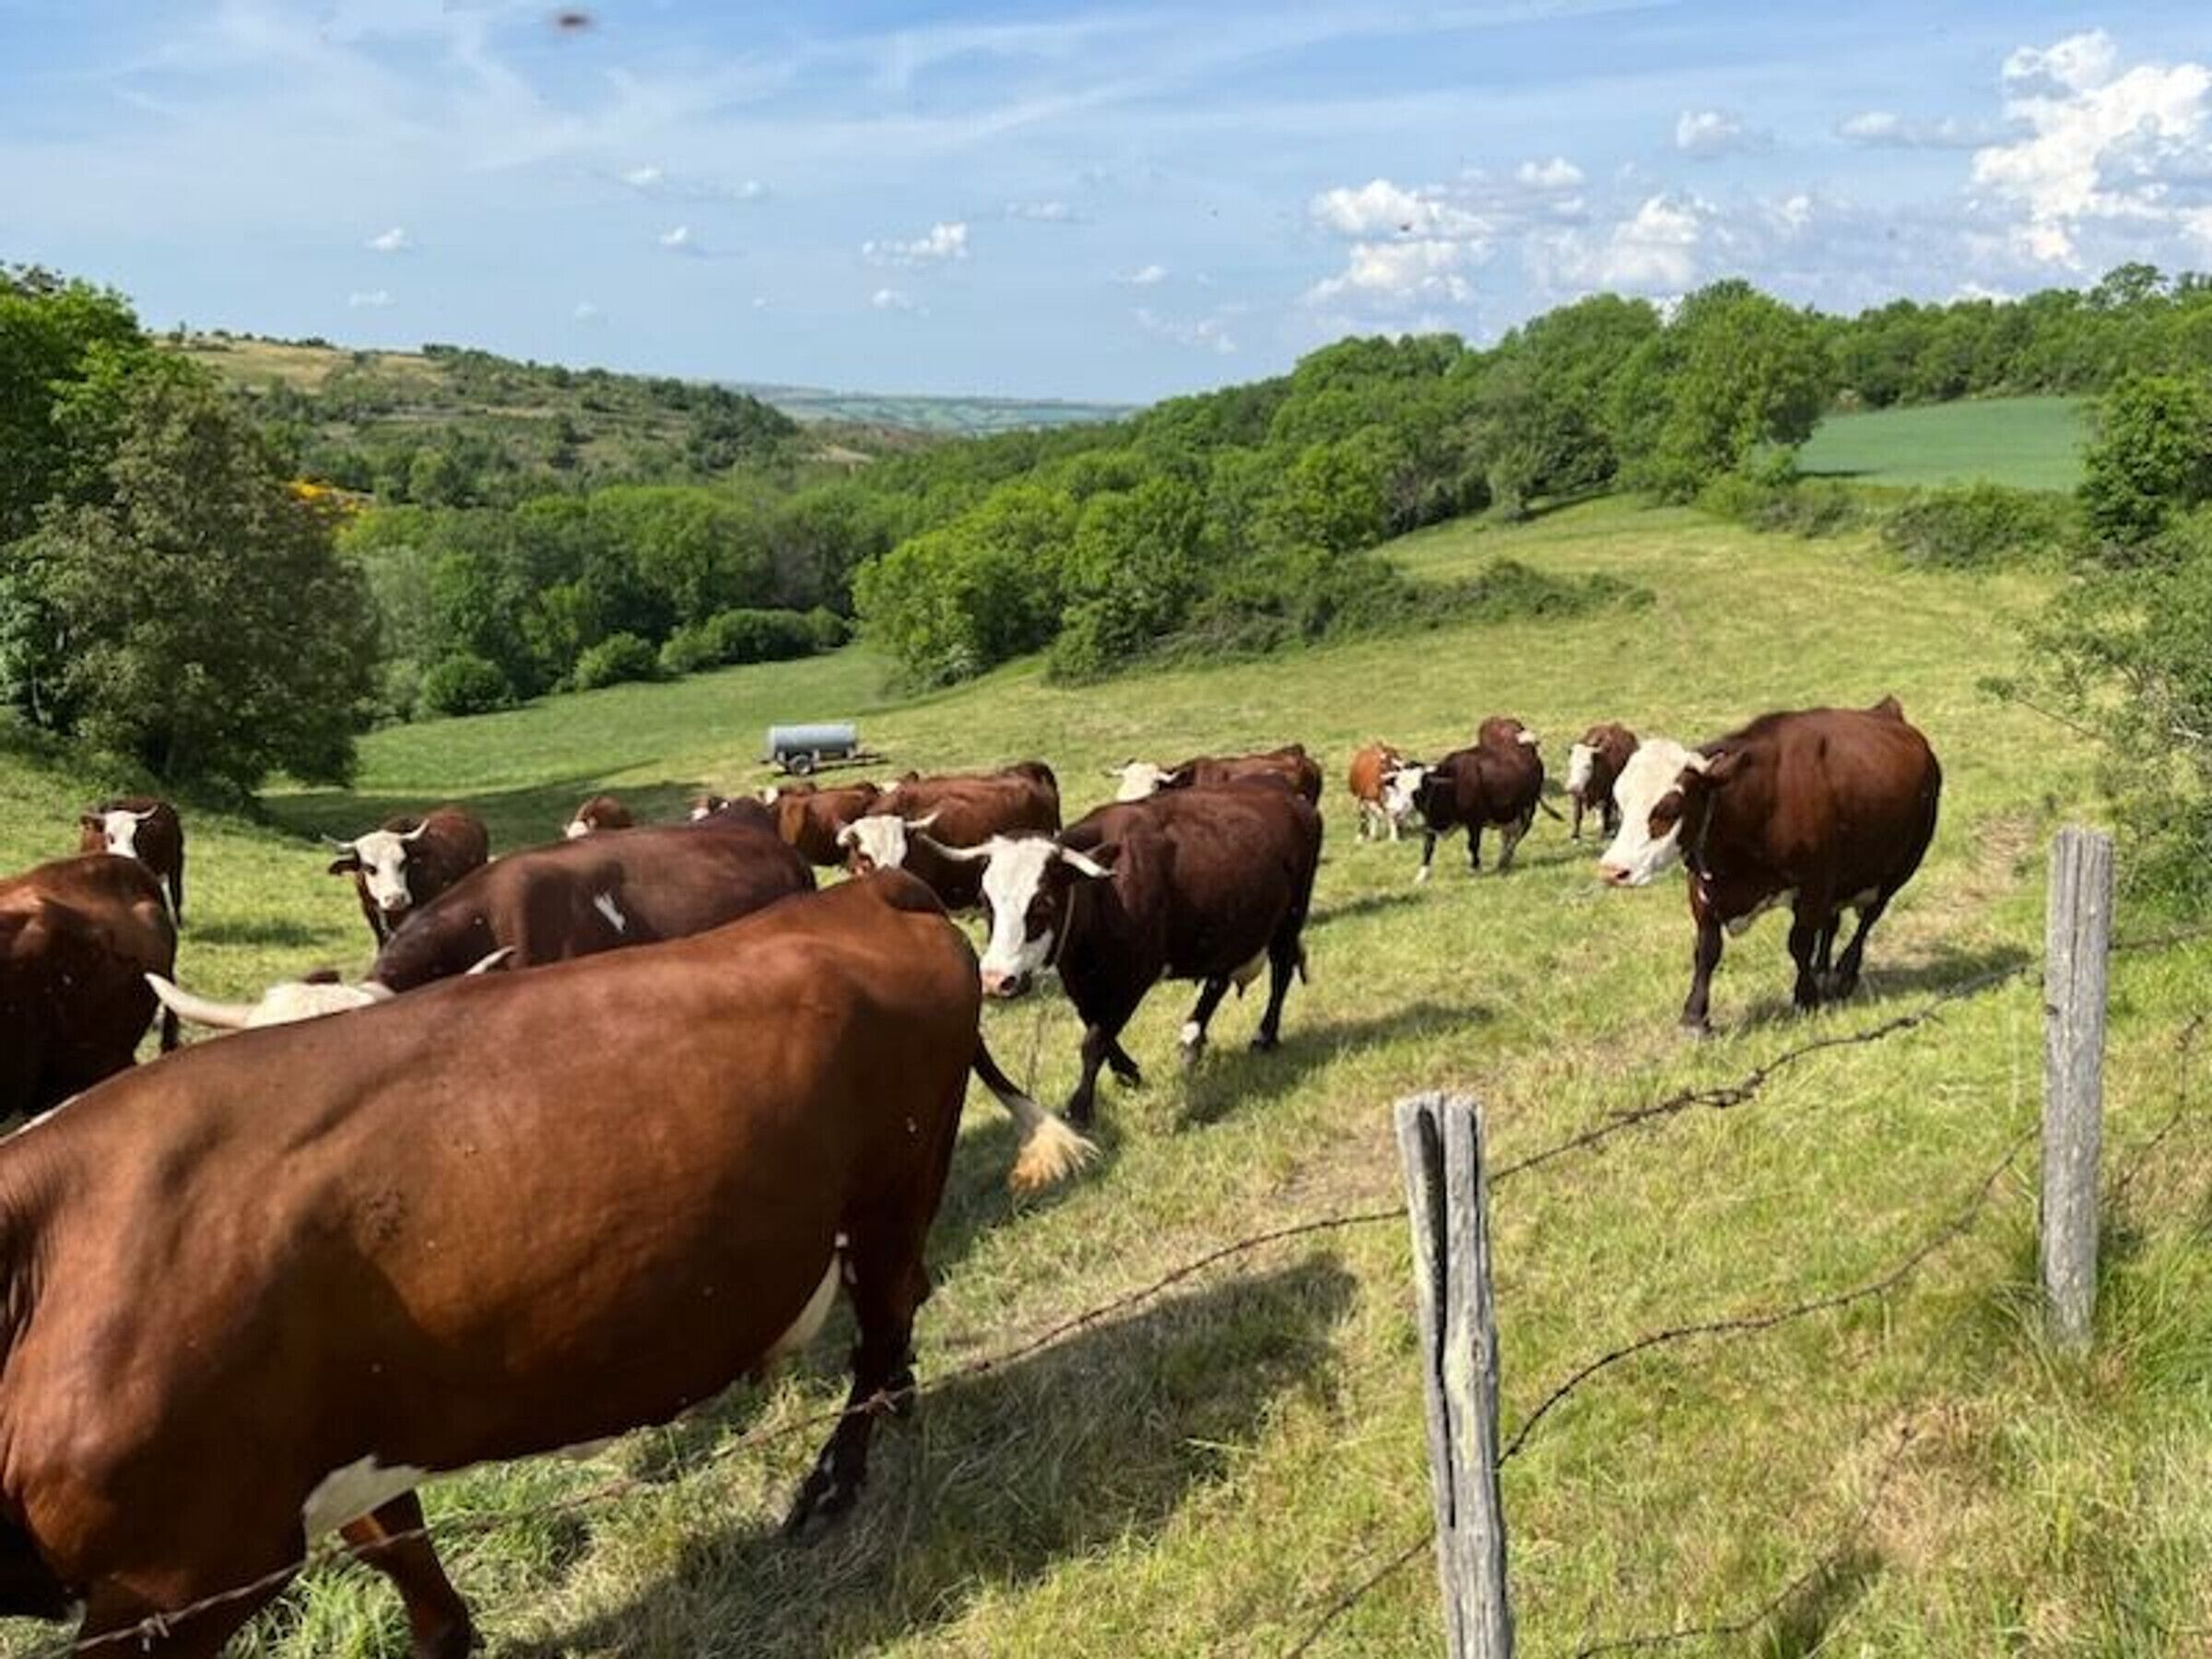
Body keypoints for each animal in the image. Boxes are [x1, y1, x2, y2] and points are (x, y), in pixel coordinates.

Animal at [927, 779, 1322, 1129]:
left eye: (1043, 903)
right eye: (986, 902)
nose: (995, 980)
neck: (1105, 894)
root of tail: (1294, 800)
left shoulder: (1133, 977)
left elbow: (1094, 1041)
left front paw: (1080, 1107)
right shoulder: (1080, 980)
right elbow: (1095, 1026)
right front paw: (1127, 1072)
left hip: (1289, 920)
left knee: (1281, 973)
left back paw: (1265, 1035)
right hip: (1227, 928)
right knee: (1218, 981)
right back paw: (1192, 1037)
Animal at [1399, 716, 1551, 882]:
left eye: (1417, 790)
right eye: (1398, 787)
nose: (1398, 812)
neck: (1453, 783)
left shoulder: (1474, 821)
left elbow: (1473, 844)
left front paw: (1475, 869)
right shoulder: (1431, 822)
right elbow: (1428, 846)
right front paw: (1421, 875)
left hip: (1528, 807)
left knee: (1519, 833)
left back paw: (1506, 857)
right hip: (1507, 812)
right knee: (1506, 835)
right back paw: (1502, 860)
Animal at [1564, 724, 1640, 842]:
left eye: (1588, 766)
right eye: (1571, 765)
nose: (1572, 787)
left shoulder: (1609, 793)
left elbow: (1607, 812)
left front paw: (1606, 832)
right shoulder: (1578, 796)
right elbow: (1577, 814)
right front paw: (1575, 836)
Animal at [1596, 699, 1942, 1033]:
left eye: (1668, 808)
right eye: (1620, 802)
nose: (1612, 870)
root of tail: (1888, 713)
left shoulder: (1815, 883)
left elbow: (1799, 943)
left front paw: (1805, 999)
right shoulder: (1703, 889)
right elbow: (1707, 951)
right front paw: (1694, 1017)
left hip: (1900, 867)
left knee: (1868, 919)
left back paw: (1843, 974)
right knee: (1832, 923)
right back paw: (1822, 971)